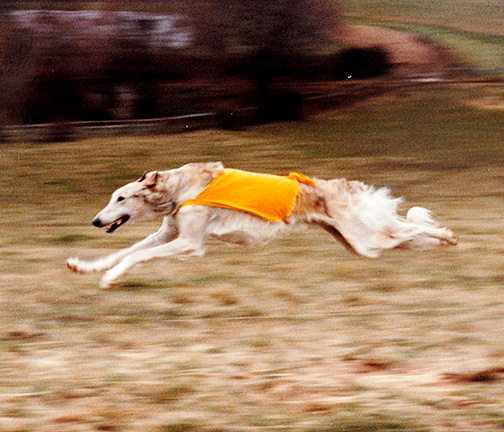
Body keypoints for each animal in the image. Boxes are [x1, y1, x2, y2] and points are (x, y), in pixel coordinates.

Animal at [66, 160, 456, 288]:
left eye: (121, 198)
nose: (95, 220)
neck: (178, 189)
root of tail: (347, 188)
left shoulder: (189, 242)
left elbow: (135, 256)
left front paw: (109, 279)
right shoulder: (168, 233)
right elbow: (126, 252)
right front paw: (86, 266)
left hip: (365, 237)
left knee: (413, 228)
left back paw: (448, 235)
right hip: (360, 244)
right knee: (404, 233)